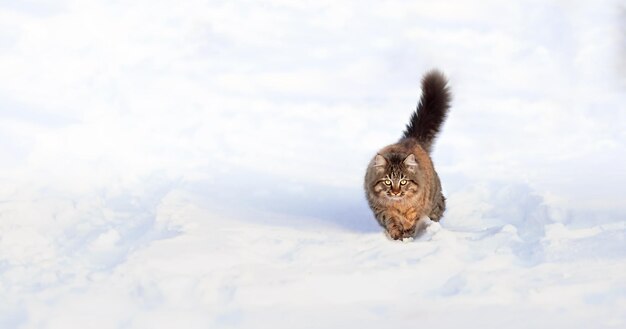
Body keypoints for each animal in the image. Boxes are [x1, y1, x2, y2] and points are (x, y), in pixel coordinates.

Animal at [360, 70, 448, 238]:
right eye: (388, 182)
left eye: (403, 181)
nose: (396, 192)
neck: (399, 204)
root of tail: (411, 139)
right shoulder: (381, 209)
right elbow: (391, 219)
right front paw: (397, 232)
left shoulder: (418, 206)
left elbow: (413, 217)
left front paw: (408, 231)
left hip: (436, 201)